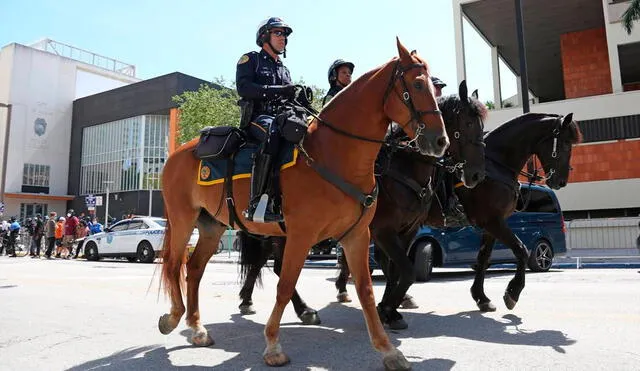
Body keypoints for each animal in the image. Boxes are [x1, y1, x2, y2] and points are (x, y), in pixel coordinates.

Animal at [158, 38, 448, 371]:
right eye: (417, 84)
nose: (440, 141)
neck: (334, 153)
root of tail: (179, 152)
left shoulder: (357, 235)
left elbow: (365, 290)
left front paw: (389, 350)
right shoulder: (302, 235)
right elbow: (284, 285)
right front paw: (273, 345)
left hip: (211, 225)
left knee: (194, 269)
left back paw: (197, 328)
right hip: (183, 219)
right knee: (174, 265)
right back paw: (173, 318)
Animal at [238, 81, 488, 328]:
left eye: (481, 126)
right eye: (467, 123)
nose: (477, 175)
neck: (403, 167)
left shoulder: (407, 230)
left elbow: (395, 269)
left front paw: (390, 308)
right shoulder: (383, 230)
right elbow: (403, 270)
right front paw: (387, 308)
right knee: (268, 262)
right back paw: (261, 302)